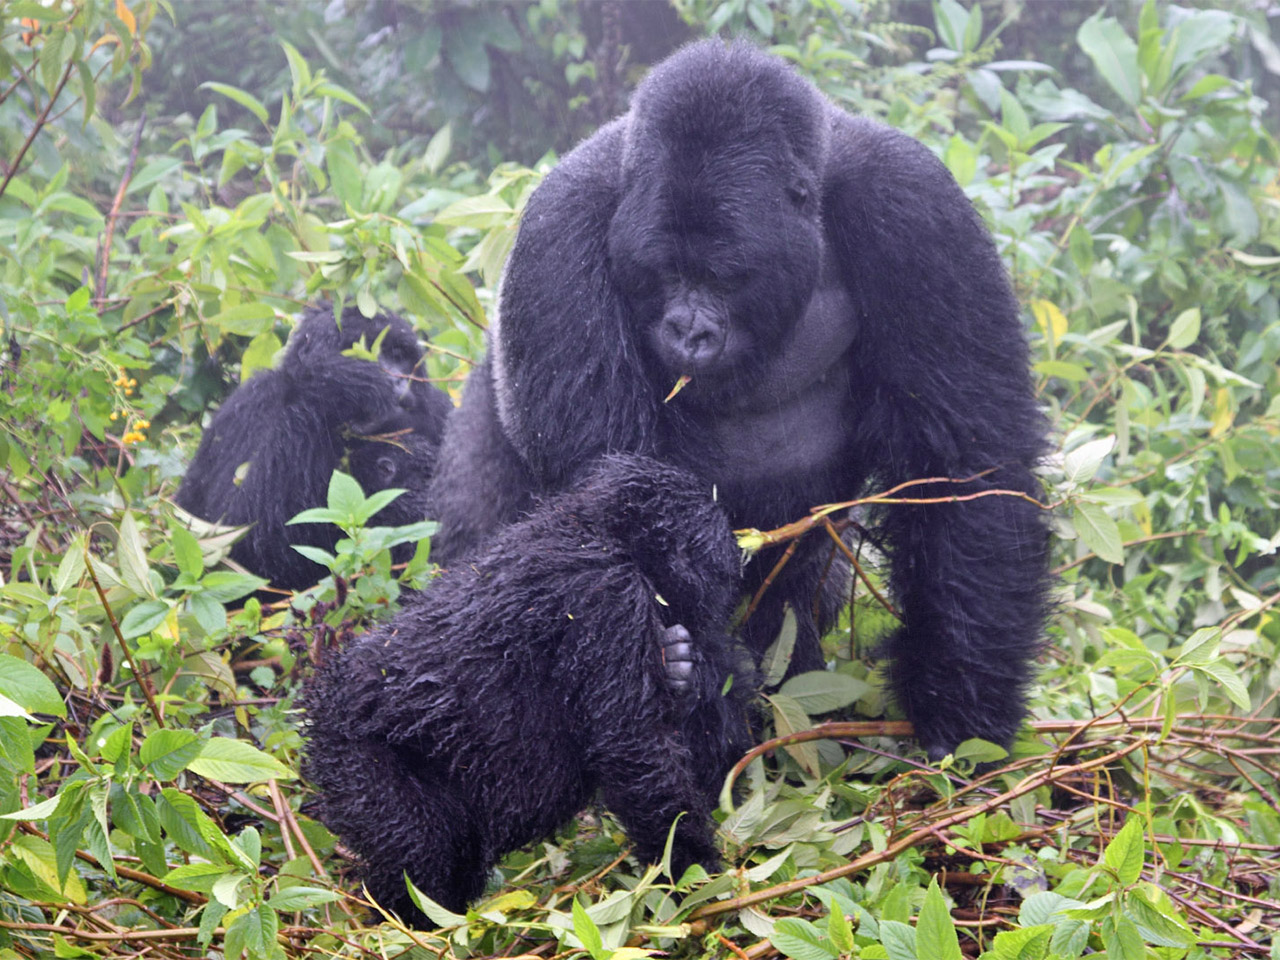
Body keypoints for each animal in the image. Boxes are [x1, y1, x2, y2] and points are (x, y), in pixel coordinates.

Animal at [175, 308, 455, 593]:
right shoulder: (250, 407)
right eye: (365, 350)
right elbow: (238, 542)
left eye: (398, 357)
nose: (397, 378)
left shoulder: (440, 410)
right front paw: (341, 381)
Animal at [303, 455, 752, 926]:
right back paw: (414, 927)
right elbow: (635, 750)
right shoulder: (607, 595)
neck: (599, 532)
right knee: (417, 848)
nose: (729, 580)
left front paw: (683, 673)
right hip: (354, 758)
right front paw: (695, 877)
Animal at [430, 39, 1049, 757]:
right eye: (665, 272)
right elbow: (609, 494)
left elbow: (965, 468)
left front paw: (959, 705)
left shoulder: (914, 204)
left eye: (724, 278)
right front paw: (691, 679)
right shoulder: (562, 224)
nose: (688, 330)